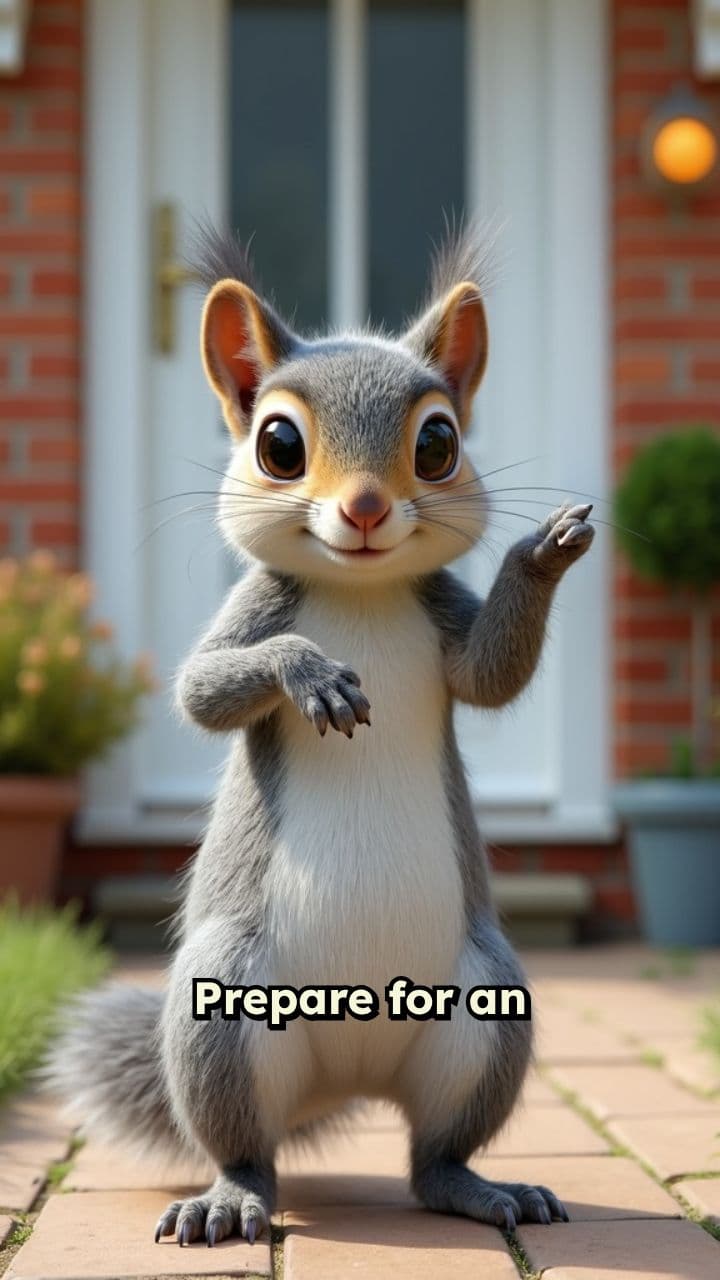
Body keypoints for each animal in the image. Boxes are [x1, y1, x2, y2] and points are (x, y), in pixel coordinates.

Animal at [49, 223, 593, 1248]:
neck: (362, 591)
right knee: (248, 1151)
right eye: (277, 443)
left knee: (434, 1157)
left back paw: (484, 1189)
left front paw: (545, 551)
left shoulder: (446, 625)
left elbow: (491, 675)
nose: (367, 510)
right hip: (221, 1015)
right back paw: (227, 1202)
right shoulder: (257, 611)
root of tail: (346, 1082)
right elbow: (202, 693)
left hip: (489, 1014)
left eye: (438, 442)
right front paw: (313, 674)